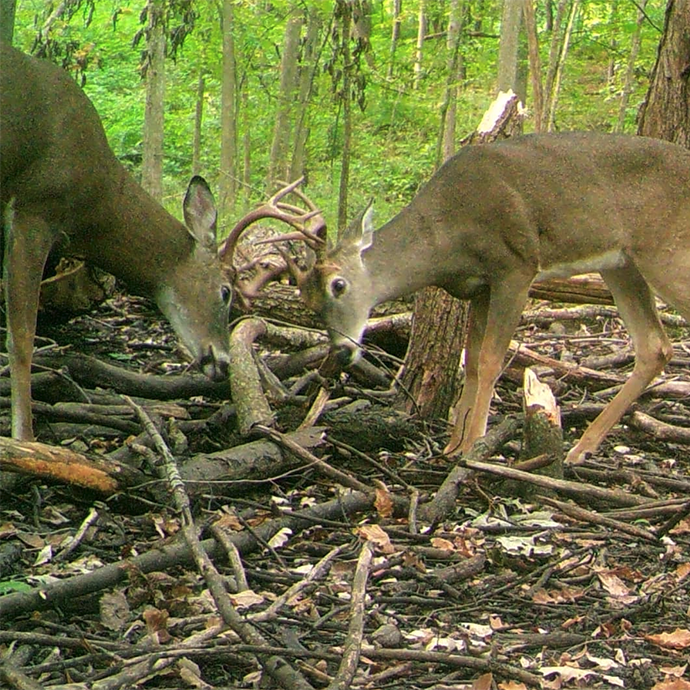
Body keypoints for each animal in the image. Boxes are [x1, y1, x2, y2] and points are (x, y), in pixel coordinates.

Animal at [222, 132, 690, 465]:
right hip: (621, 263)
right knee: (655, 346)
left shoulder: (515, 266)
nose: (340, 352)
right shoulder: (477, 285)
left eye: (340, 285)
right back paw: (580, 449)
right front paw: (453, 442)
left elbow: (491, 359)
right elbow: (472, 361)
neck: (446, 237)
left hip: (664, 252)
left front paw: (473, 446)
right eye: (307, 304)